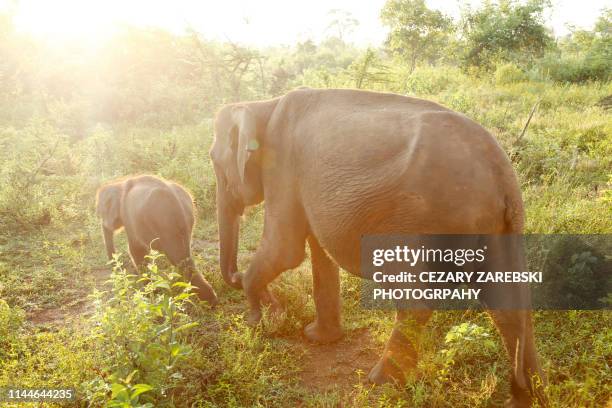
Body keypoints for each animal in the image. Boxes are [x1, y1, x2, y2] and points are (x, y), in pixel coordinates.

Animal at [94, 175, 219, 306]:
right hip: (186, 221)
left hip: (166, 224)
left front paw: (148, 293)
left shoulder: (128, 217)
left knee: (178, 258)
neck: (119, 183)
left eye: (100, 213)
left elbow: (136, 250)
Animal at [209, 87, 544, 406]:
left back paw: (380, 381)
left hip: (423, 217)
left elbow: (285, 250)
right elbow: (317, 251)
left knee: (415, 300)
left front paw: (256, 322)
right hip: (500, 224)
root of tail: (502, 176)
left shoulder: (282, 167)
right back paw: (524, 398)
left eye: (213, 159)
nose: (235, 277)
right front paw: (313, 335)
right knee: (509, 302)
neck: (264, 104)